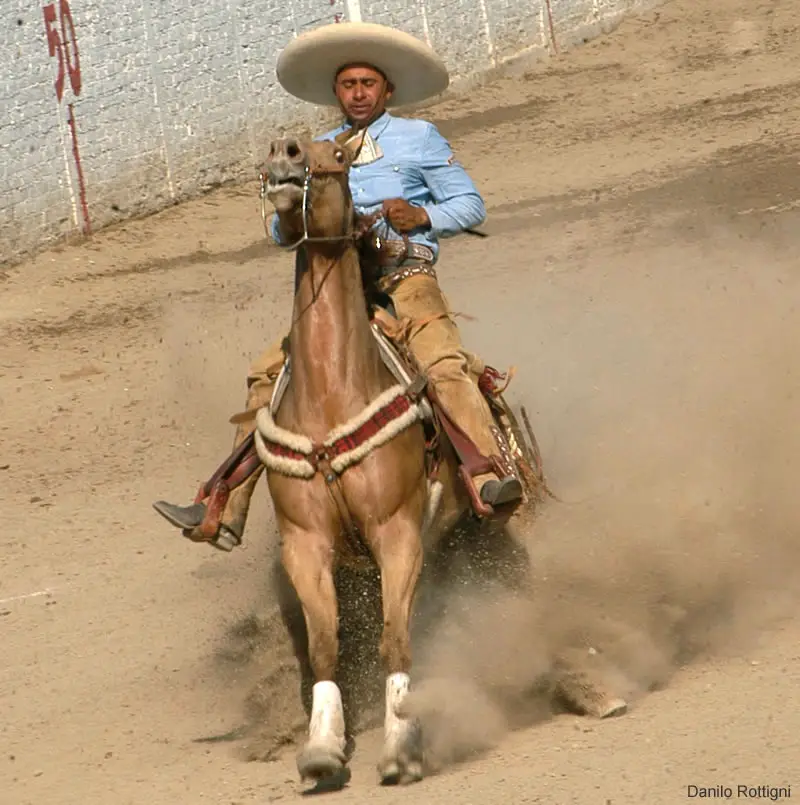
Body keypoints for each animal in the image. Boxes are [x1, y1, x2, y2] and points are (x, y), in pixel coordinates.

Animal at [256, 135, 552, 784]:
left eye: (336, 157)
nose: (285, 154)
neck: (331, 394)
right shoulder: (305, 542)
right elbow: (326, 647)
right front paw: (322, 750)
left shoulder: (397, 532)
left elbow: (396, 640)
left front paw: (401, 749)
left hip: (488, 527)